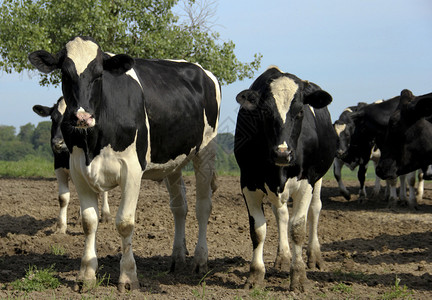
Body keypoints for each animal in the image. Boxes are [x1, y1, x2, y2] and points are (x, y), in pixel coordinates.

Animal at [32, 97, 111, 233]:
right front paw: (61, 227)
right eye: (52, 118)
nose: (58, 143)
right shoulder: (59, 166)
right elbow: (63, 198)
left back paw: (105, 215)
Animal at [233, 67, 338, 292]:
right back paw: (283, 257)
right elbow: (258, 230)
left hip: (319, 177)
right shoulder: (248, 182)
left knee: (315, 209)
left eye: (300, 112)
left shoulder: (306, 182)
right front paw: (255, 274)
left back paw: (314, 257)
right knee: (281, 213)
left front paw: (298, 277)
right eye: (265, 112)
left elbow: (297, 228)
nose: (282, 153)